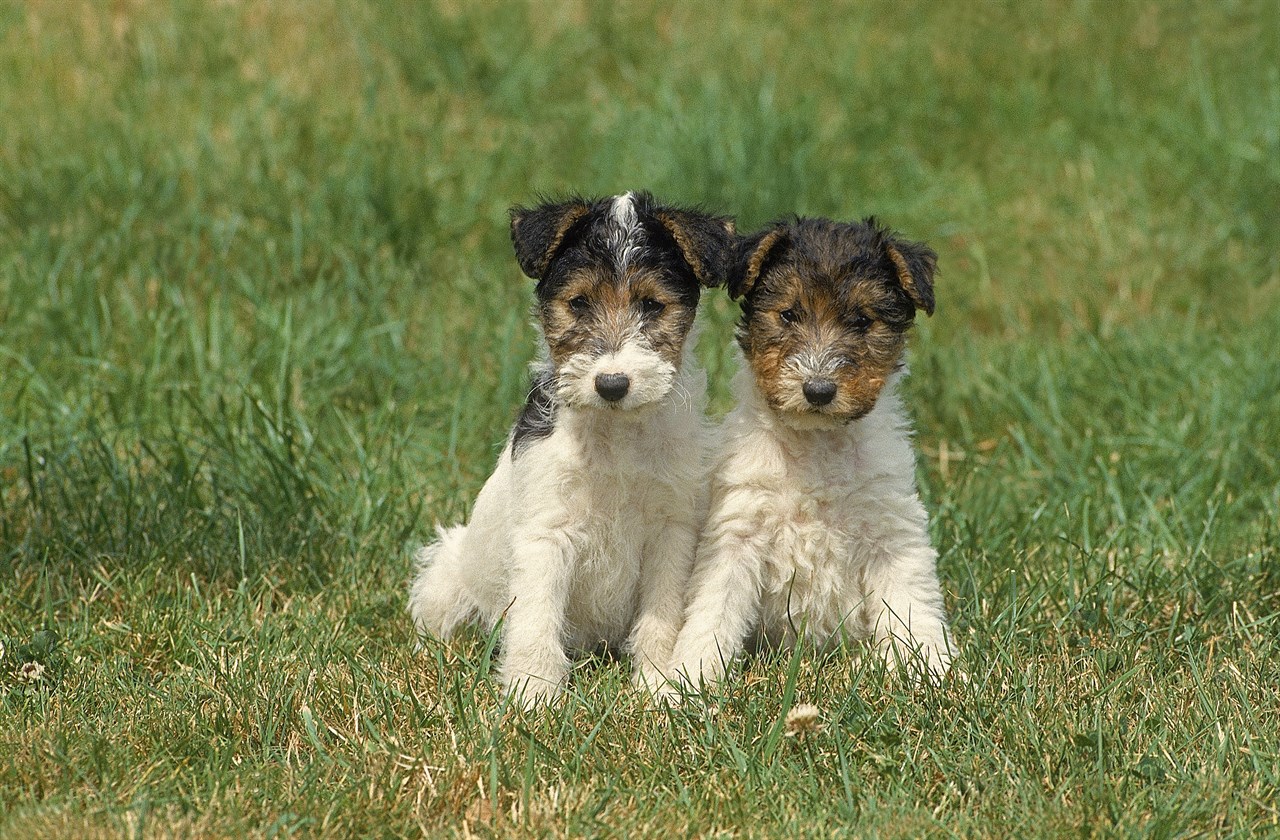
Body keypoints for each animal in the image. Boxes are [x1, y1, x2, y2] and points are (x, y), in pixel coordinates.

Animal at [404, 192, 737, 706]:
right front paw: (533, 693)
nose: (612, 383)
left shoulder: (672, 529)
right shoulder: (546, 532)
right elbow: (536, 618)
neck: (616, 435)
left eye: (651, 305)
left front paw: (658, 684)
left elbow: (662, 617)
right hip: (450, 570)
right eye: (579, 303)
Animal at [665, 216, 957, 696]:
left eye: (861, 320)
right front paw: (684, 680)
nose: (818, 390)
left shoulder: (892, 530)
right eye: (789, 314)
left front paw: (934, 671)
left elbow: (913, 603)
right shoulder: (738, 530)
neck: (817, 444)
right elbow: (712, 610)